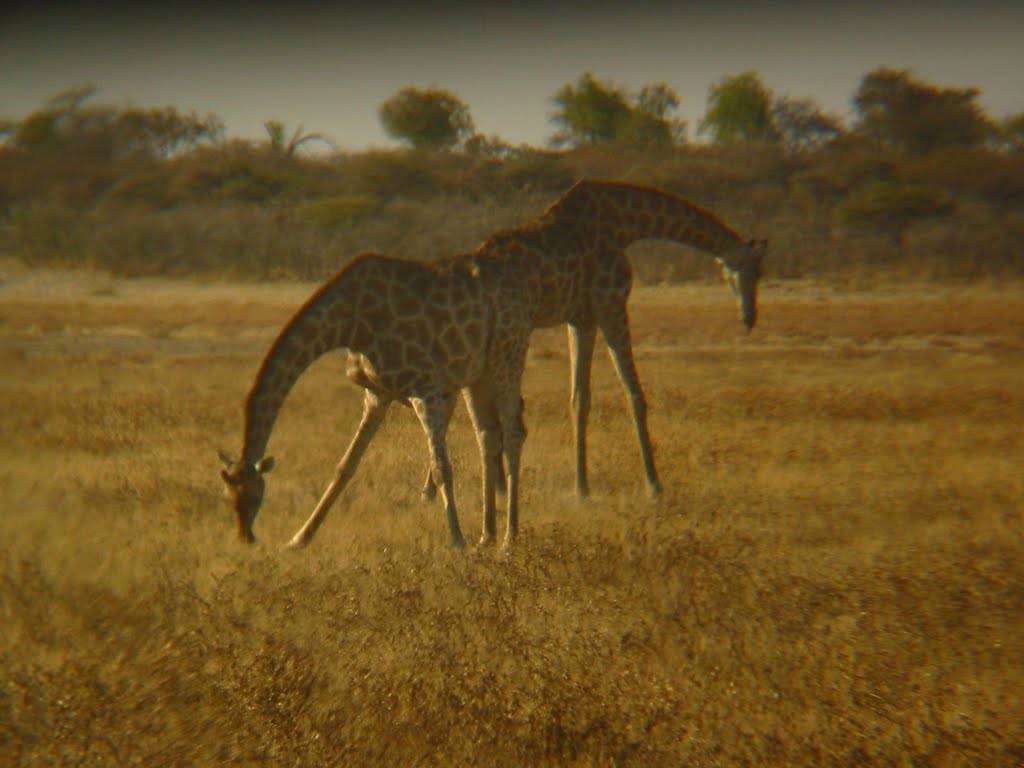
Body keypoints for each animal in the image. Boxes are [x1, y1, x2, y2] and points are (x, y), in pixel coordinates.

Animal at [222, 256, 528, 548]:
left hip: (498, 365)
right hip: (475, 378)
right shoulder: (378, 394)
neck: (349, 322)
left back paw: (504, 529)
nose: (246, 536)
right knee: (493, 432)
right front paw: (299, 539)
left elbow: (442, 465)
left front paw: (457, 540)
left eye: (256, 495)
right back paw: (488, 518)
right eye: (227, 496)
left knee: (511, 430)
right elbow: (345, 466)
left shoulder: (425, 388)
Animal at [419, 182, 765, 501]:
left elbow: (579, 398)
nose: (749, 318)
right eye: (752, 271)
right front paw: (653, 484)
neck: (628, 223)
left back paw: (464, 489)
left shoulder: (581, 319)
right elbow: (633, 394)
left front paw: (581, 486)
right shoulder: (611, 305)